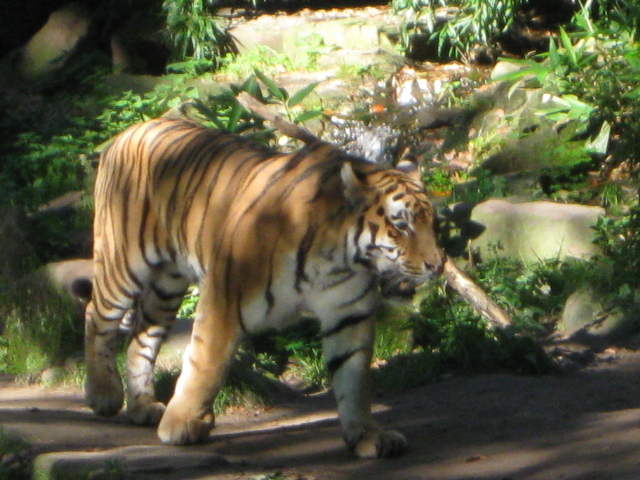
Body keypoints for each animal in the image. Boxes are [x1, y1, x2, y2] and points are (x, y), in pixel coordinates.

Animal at [85, 116, 444, 458]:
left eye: (433, 222)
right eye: (401, 225)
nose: (437, 265)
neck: (339, 256)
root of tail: (132, 129)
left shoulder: (348, 314)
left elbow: (354, 379)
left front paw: (368, 436)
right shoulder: (223, 300)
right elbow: (206, 363)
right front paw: (182, 423)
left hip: (166, 286)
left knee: (142, 336)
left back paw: (143, 406)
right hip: (123, 263)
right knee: (96, 315)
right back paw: (104, 395)